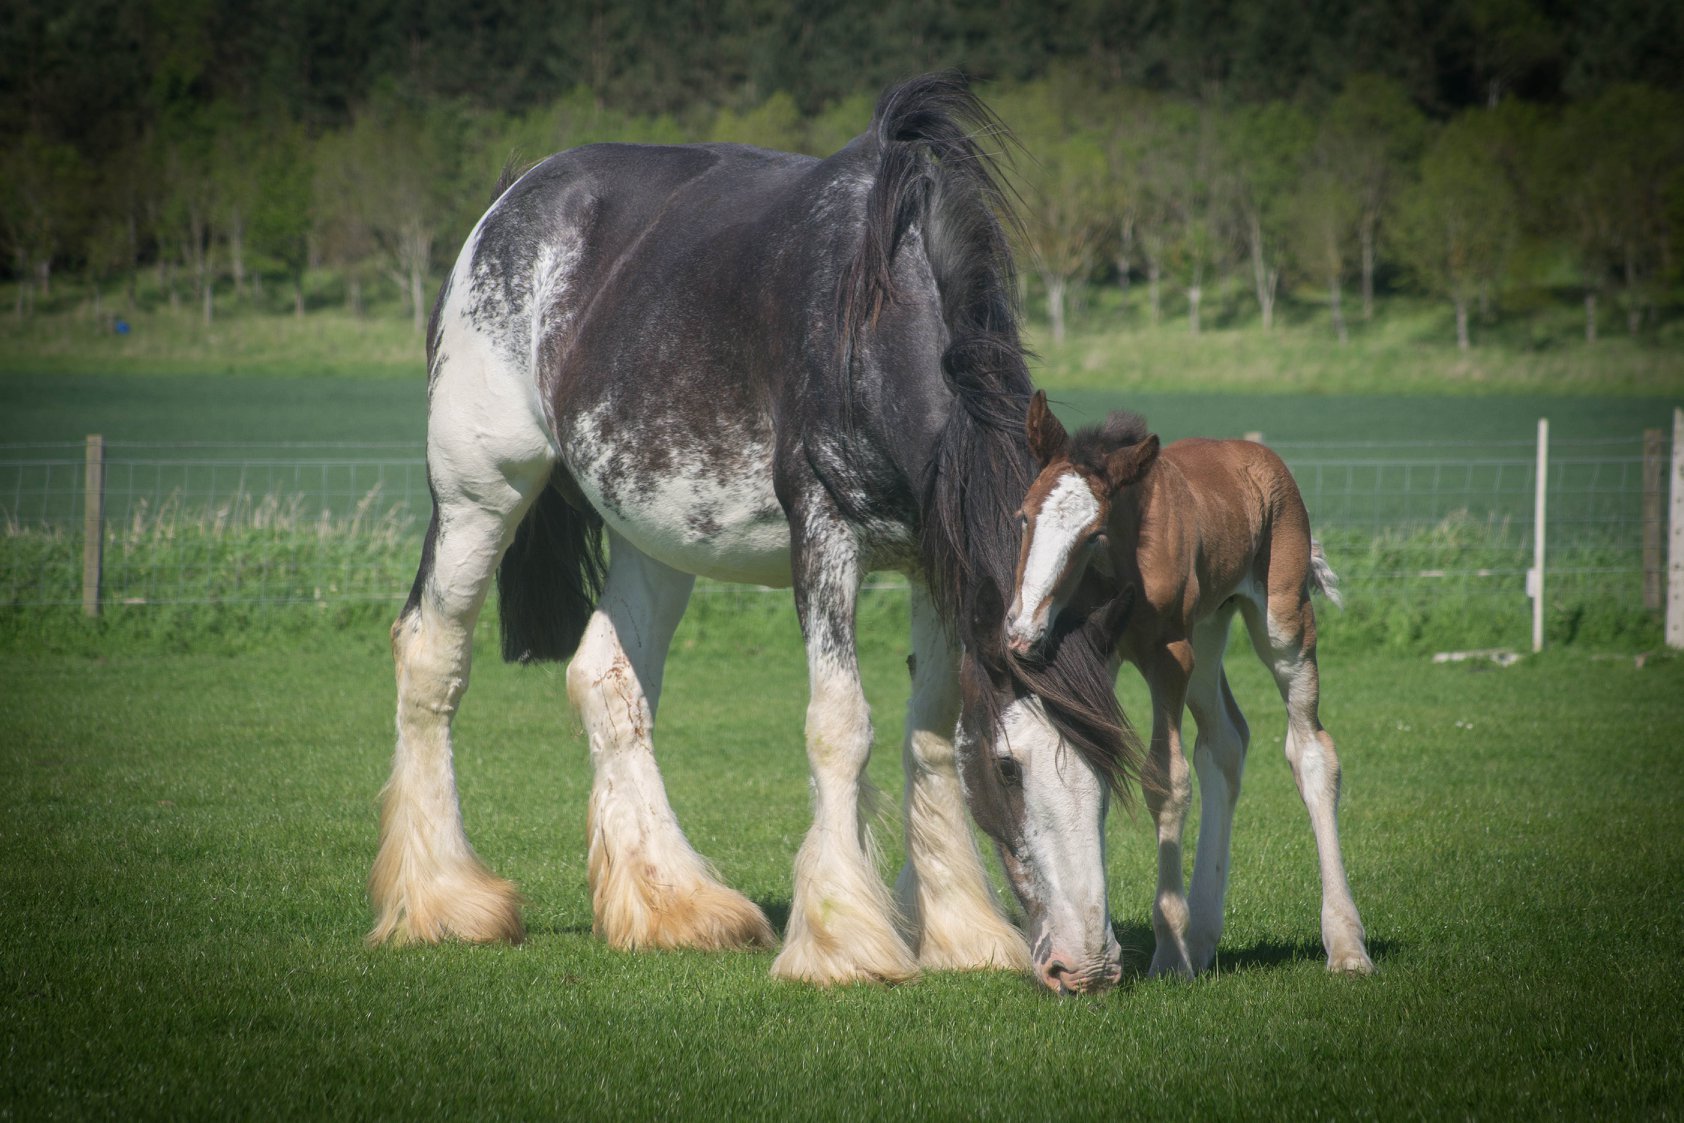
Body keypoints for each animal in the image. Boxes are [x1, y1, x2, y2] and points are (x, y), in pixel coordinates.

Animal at [365, 74, 1131, 989]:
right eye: (1012, 765)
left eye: (1108, 767)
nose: (1089, 965)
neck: (871, 324)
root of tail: (513, 198)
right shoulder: (825, 538)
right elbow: (841, 725)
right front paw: (844, 940)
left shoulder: (931, 564)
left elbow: (932, 731)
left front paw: (960, 931)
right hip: (479, 493)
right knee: (431, 658)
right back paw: (444, 901)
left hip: (652, 539)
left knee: (607, 680)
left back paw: (675, 906)